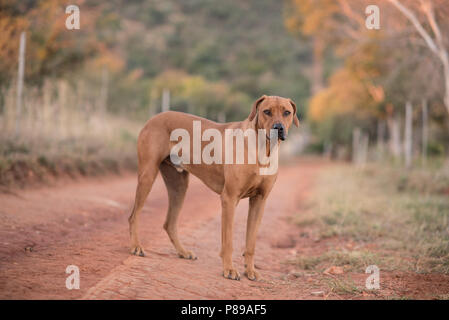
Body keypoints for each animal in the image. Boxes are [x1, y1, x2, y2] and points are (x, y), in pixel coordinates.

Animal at [128, 95, 300, 280]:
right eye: (267, 111)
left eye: (287, 112)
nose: (278, 128)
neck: (262, 149)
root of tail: (154, 117)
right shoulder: (229, 198)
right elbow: (228, 241)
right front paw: (229, 269)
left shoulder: (259, 201)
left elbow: (251, 242)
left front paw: (250, 270)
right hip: (148, 175)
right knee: (134, 216)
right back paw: (136, 246)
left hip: (179, 185)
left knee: (169, 223)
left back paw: (183, 252)